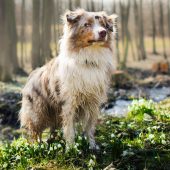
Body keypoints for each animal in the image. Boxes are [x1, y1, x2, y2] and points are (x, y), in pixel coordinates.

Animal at [19, 8, 117, 149]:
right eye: (86, 24)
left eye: (103, 25)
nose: (103, 32)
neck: (88, 60)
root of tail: (31, 76)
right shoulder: (69, 102)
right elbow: (69, 128)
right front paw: (71, 148)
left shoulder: (93, 102)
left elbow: (89, 127)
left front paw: (92, 146)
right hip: (37, 112)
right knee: (34, 132)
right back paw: (36, 147)